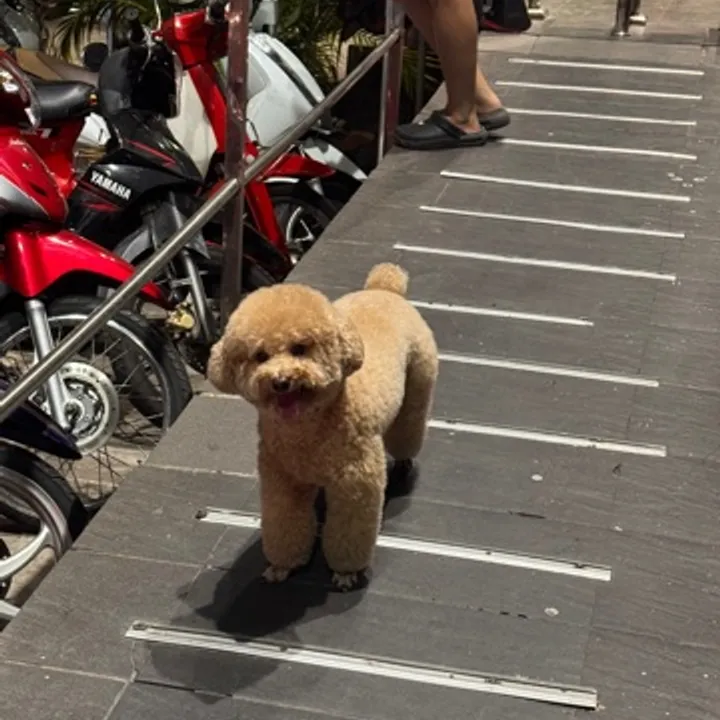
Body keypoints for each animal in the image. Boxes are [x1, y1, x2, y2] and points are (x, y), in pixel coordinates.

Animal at [207, 263, 438, 590]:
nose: (281, 381)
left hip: (418, 385)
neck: (309, 428)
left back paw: (405, 460)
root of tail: (383, 288)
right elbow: (285, 524)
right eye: (260, 356)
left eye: (300, 348)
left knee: (409, 429)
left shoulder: (355, 483)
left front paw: (346, 572)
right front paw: (283, 566)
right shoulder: (282, 479)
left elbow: (348, 531)